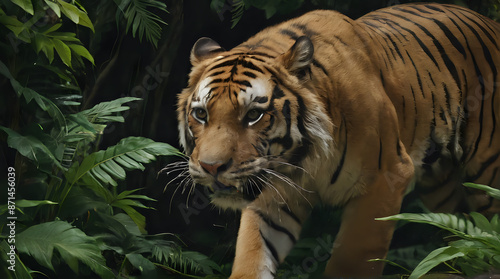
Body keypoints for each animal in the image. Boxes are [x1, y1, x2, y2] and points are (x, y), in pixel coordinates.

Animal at [176, 2, 500, 278]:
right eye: (201, 114)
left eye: (254, 114)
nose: (212, 167)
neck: (302, 159)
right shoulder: (273, 195)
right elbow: (252, 256)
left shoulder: (386, 178)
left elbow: (352, 260)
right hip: (441, 191)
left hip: (488, 172)